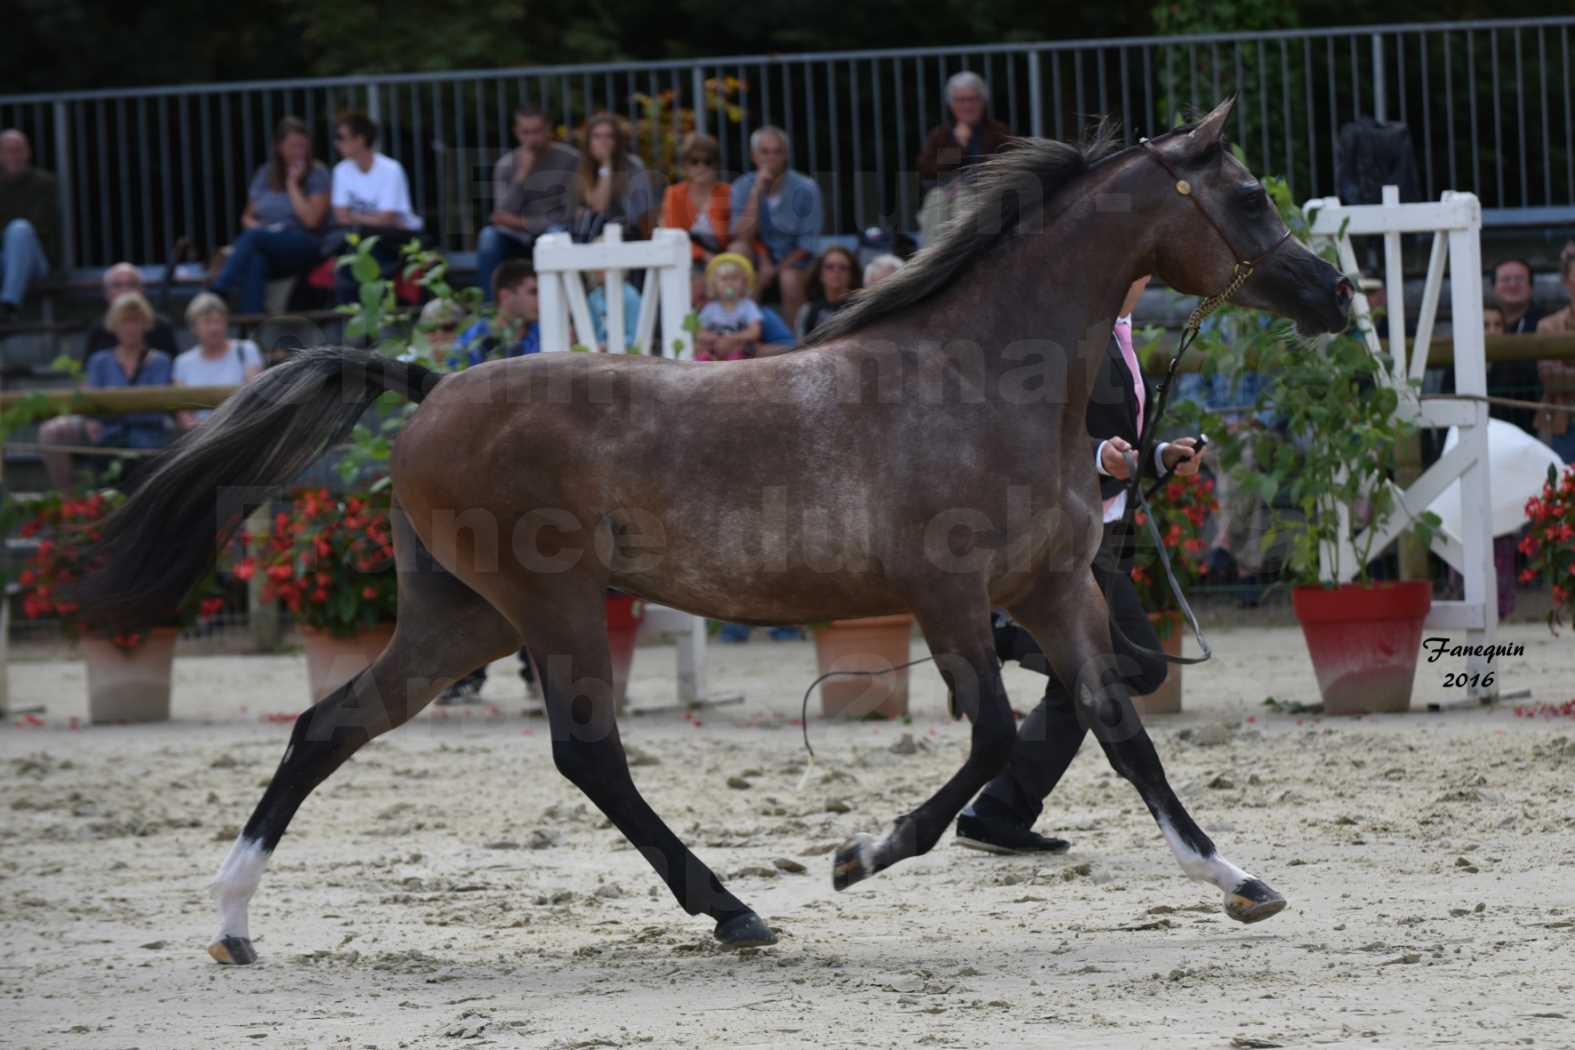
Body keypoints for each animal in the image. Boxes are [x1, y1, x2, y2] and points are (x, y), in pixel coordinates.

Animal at [79, 98, 1348, 969]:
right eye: (1248, 198)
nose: (1336, 297)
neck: (982, 378)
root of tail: (430, 387)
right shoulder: (950, 597)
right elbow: (993, 736)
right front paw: (854, 858)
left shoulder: (1056, 591)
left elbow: (1122, 730)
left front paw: (1239, 880)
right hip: (547, 605)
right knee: (584, 752)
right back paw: (737, 908)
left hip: (462, 619)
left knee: (328, 726)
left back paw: (235, 923)